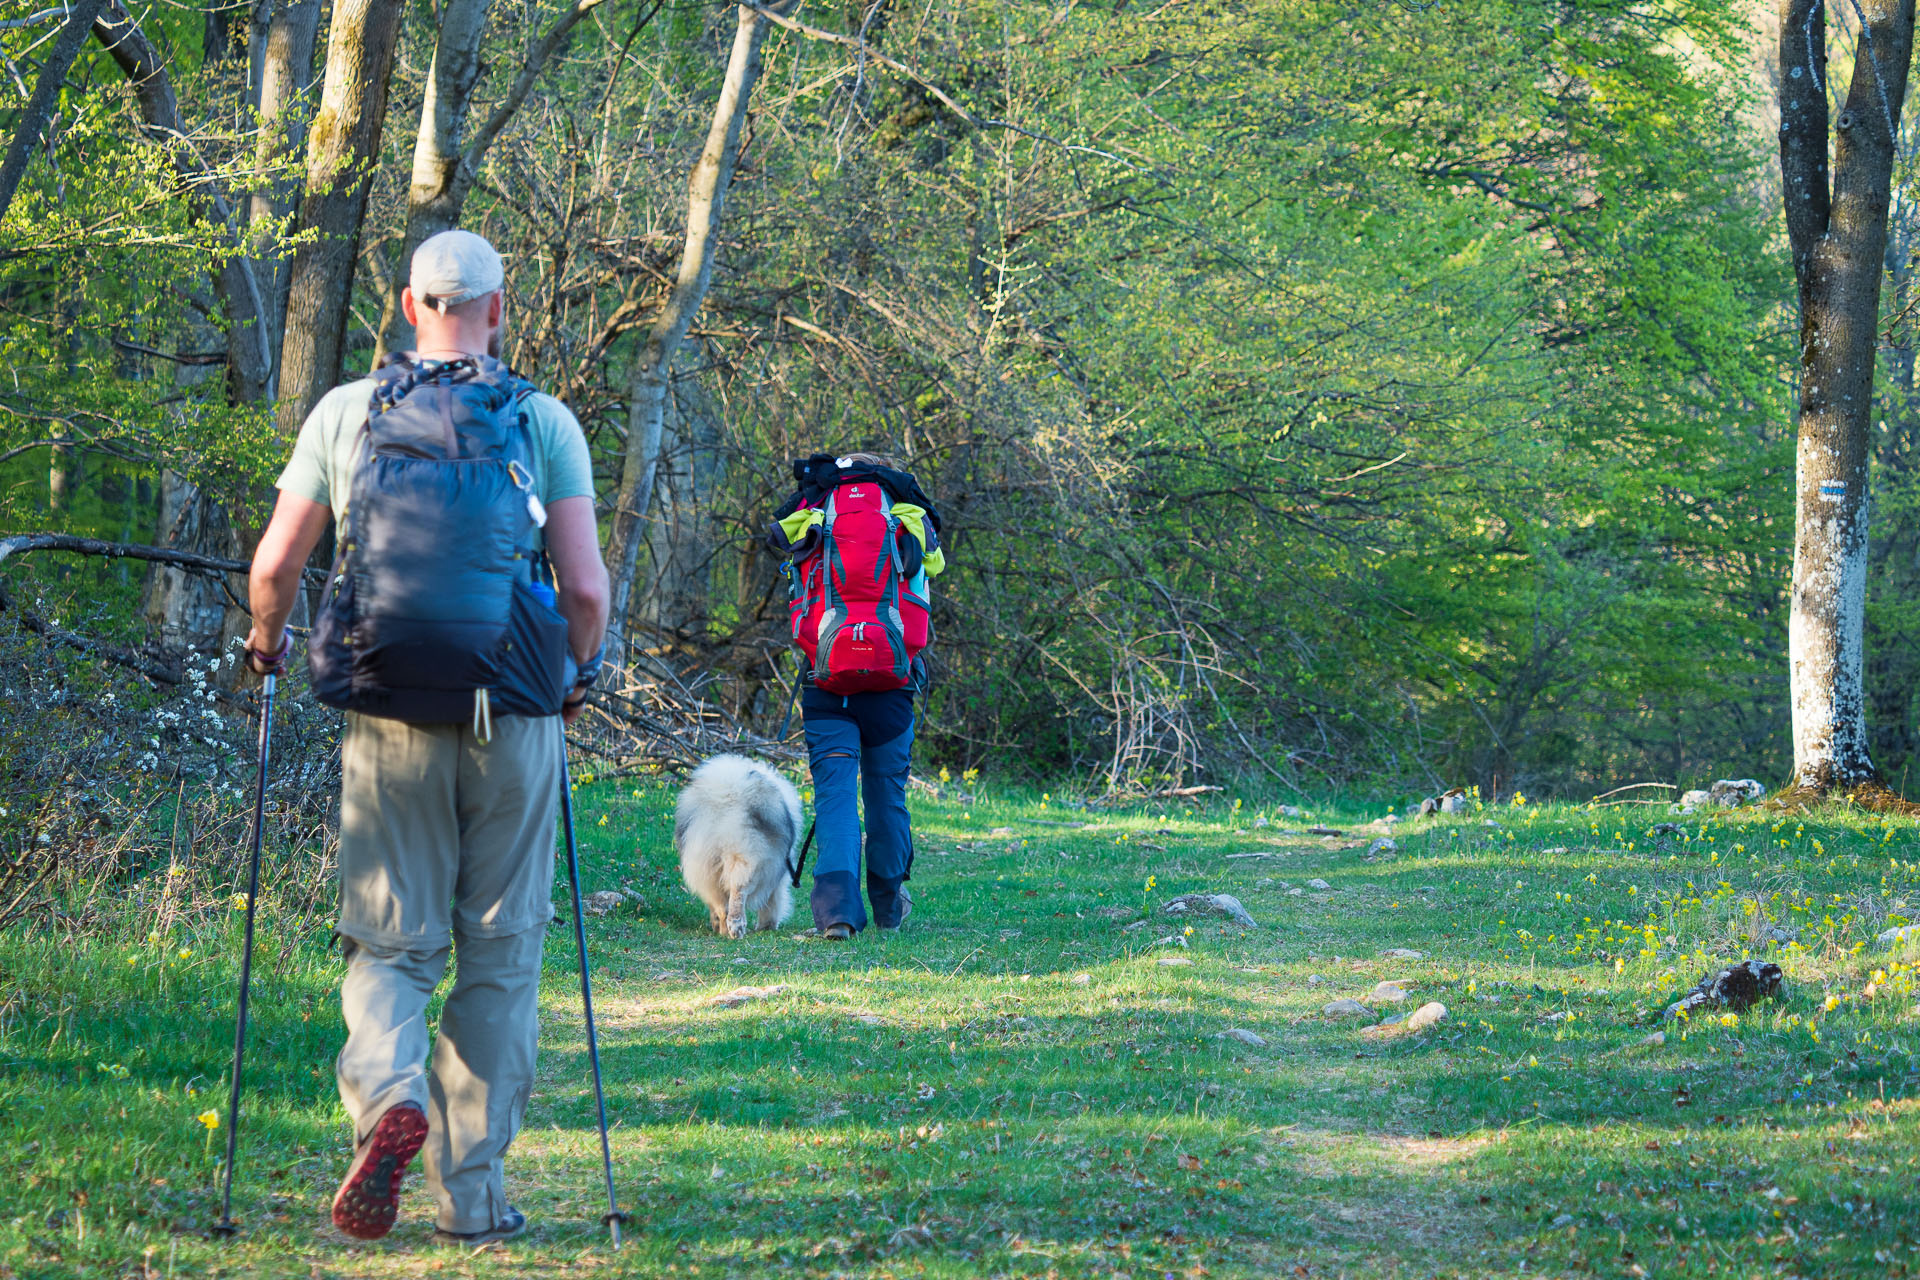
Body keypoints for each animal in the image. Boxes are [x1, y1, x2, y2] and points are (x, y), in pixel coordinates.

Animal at [672, 752, 798, 940]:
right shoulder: (777, 876)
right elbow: (772, 903)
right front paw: (767, 926)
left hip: (707, 868)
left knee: (721, 905)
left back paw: (725, 931)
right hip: (748, 861)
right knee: (738, 893)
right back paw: (737, 927)